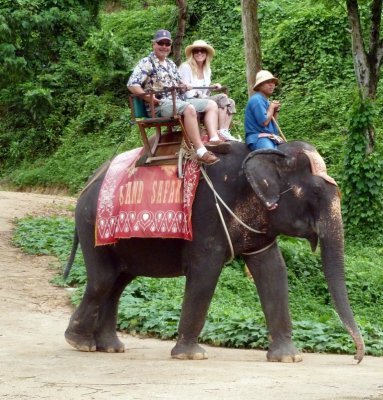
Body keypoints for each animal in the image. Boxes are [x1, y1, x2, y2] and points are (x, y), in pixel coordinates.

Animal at [65, 140, 366, 362]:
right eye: (315, 192)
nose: (356, 357)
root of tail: (88, 183)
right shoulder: (206, 216)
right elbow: (205, 273)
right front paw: (190, 356)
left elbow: (273, 271)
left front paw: (288, 358)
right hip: (92, 226)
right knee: (103, 280)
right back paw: (80, 343)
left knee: (118, 283)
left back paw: (109, 347)